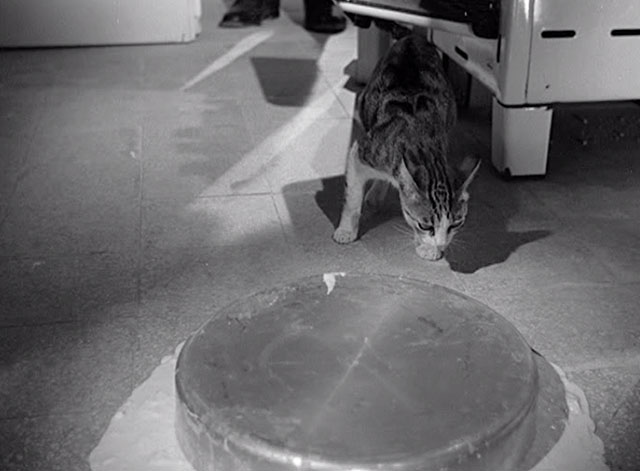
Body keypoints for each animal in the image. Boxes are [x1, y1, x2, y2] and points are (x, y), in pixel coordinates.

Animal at [332, 33, 478, 262]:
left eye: (456, 224)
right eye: (425, 225)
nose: (442, 244)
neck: (422, 143)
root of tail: (413, 36)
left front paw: (430, 248)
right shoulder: (361, 152)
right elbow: (352, 198)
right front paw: (346, 230)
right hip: (366, 103)